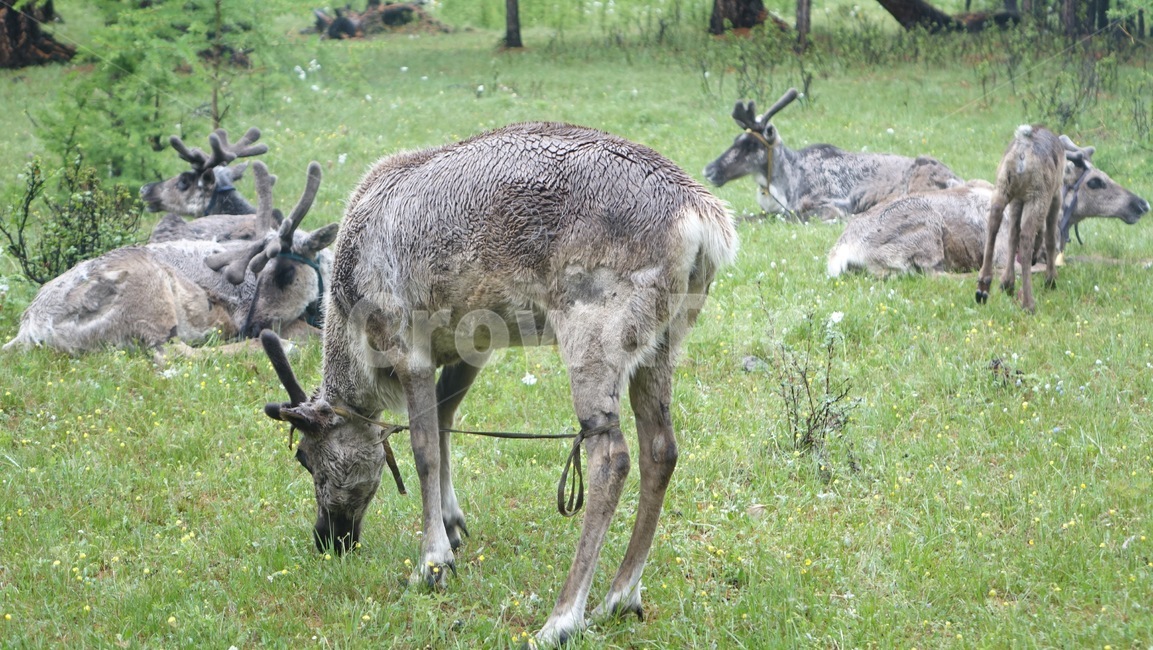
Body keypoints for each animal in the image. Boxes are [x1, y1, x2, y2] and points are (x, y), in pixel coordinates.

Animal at [4, 161, 338, 354]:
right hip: (150, 299)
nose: (251, 329)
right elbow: (311, 336)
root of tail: (30, 329)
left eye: (285, 274)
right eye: (261, 272)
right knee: (176, 355)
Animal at [258, 122, 738, 647]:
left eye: (306, 458)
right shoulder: (472, 344)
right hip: (666, 340)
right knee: (661, 449)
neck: (352, 328)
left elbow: (423, 450)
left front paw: (431, 563)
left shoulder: (406, 343)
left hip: (595, 328)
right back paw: (620, 597)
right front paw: (452, 525)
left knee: (610, 456)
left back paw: (562, 618)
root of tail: (706, 221)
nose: (328, 539)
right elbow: (445, 421)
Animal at [703, 88, 962, 223]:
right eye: (735, 139)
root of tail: (956, 177)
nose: (709, 169)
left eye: (750, 145)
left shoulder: (827, 205)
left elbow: (787, 216)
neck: (786, 182)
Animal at [826, 136, 1149, 279]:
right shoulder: (1009, 252)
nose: (1142, 203)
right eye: (1095, 182)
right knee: (932, 275)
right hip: (926, 234)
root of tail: (841, 251)